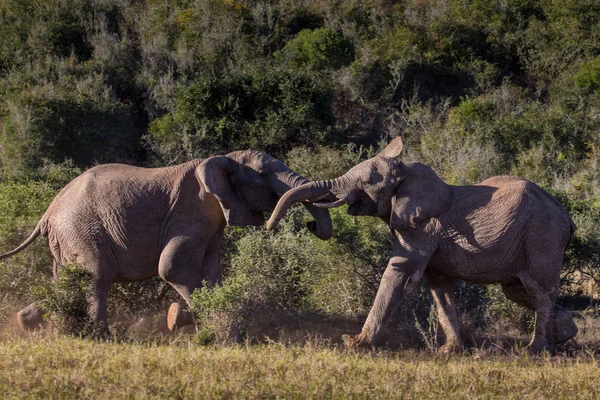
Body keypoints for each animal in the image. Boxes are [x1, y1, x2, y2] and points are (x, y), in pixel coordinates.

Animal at [0, 150, 332, 334]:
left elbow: (212, 273)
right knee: (96, 278)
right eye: (262, 174)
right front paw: (205, 328)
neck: (221, 159)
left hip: (65, 239)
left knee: (64, 282)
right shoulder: (190, 215)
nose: (311, 224)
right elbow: (172, 268)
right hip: (81, 229)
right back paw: (101, 337)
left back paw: (26, 323)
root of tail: (47, 213)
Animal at [268, 138, 576, 354]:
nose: (309, 224)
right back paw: (565, 333)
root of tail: (567, 218)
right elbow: (440, 289)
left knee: (538, 290)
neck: (407, 174)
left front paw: (353, 344)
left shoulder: (422, 228)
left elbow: (399, 272)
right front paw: (449, 352)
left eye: (366, 182)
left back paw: (536, 349)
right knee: (518, 290)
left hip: (542, 237)